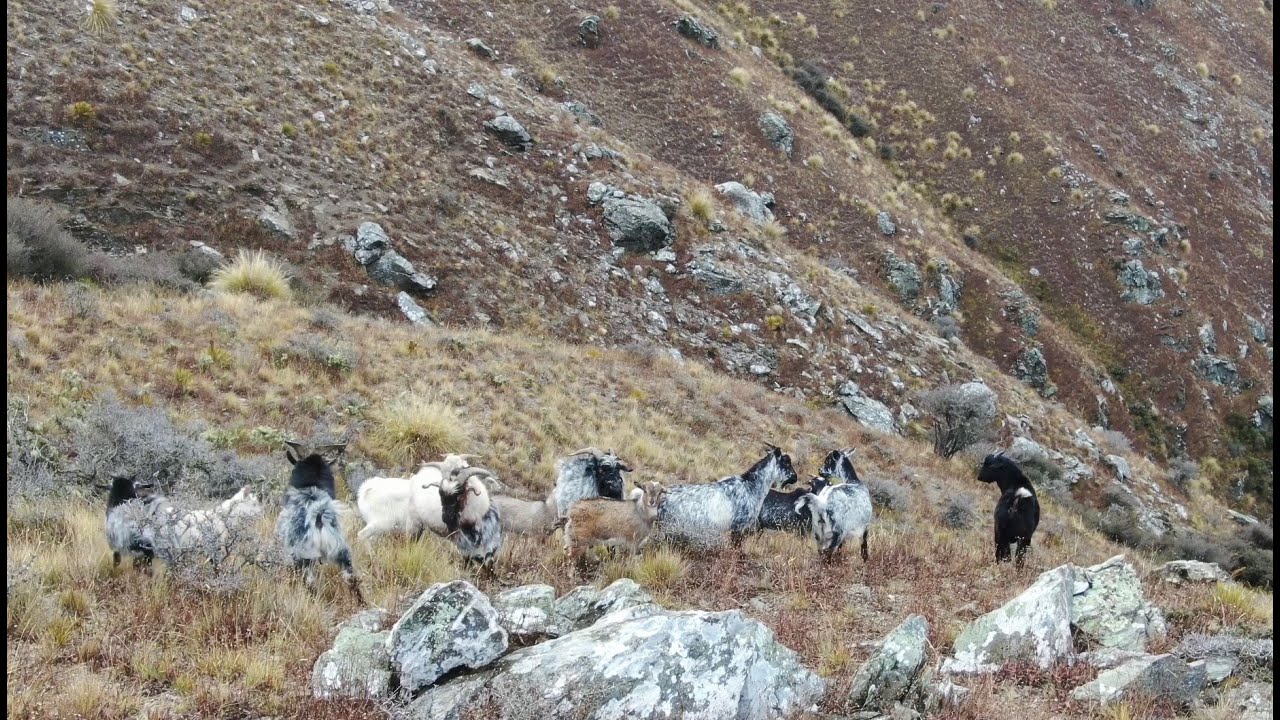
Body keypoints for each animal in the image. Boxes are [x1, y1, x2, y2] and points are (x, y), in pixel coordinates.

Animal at [275, 438, 363, 599]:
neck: (311, 486)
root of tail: (319, 518)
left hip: (304, 556)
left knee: (310, 583)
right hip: (342, 551)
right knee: (351, 578)